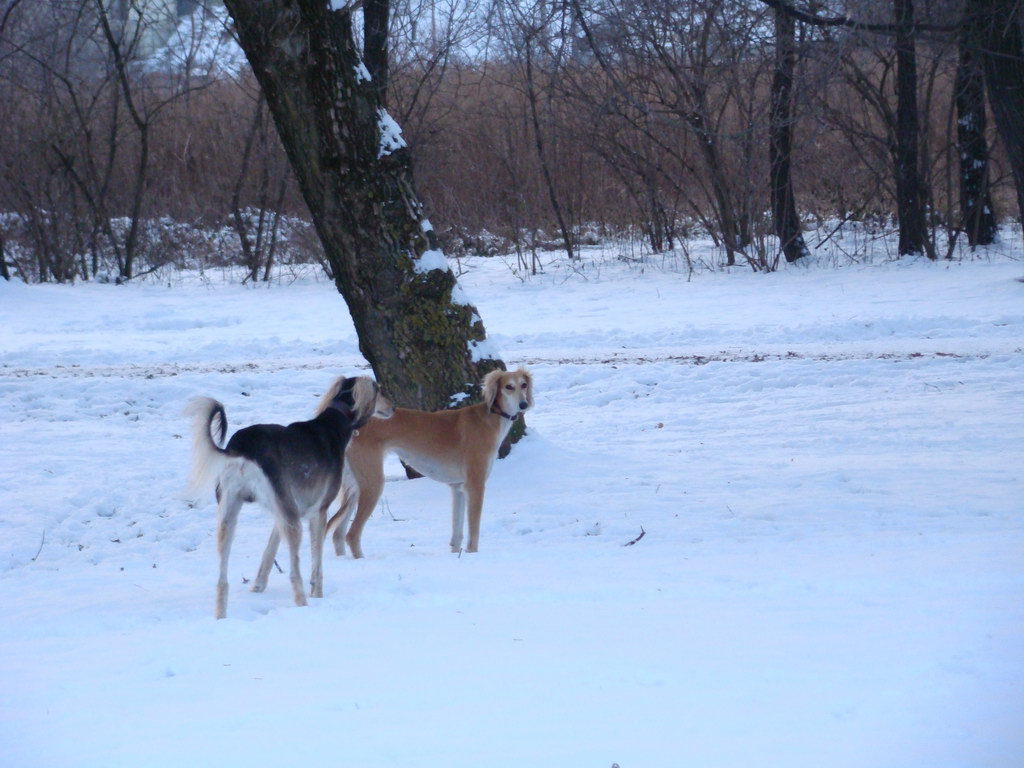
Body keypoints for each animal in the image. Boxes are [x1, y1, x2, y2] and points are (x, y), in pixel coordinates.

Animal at [327, 368, 536, 561]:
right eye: (508, 386)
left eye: (524, 385)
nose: (523, 404)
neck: (490, 418)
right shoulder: (475, 485)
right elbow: (473, 532)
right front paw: (472, 556)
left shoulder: (458, 488)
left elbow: (457, 534)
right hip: (373, 483)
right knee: (352, 534)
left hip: (355, 486)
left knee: (337, 533)